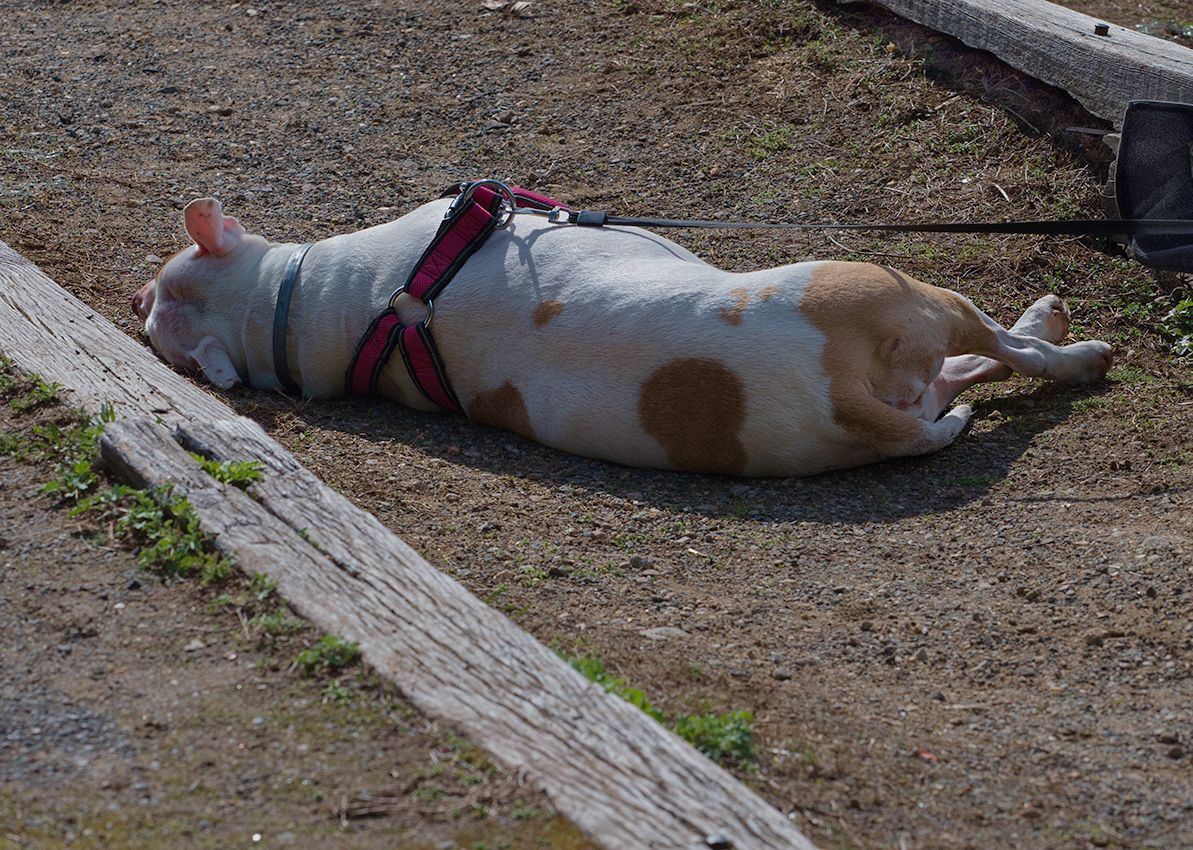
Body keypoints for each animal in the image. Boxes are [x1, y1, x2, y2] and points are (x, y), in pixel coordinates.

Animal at [135, 196, 1111, 477]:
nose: (136, 295)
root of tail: (839, 398)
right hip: (897, 290)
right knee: (1001, 351)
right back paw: (1062, 343)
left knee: (951, 384)